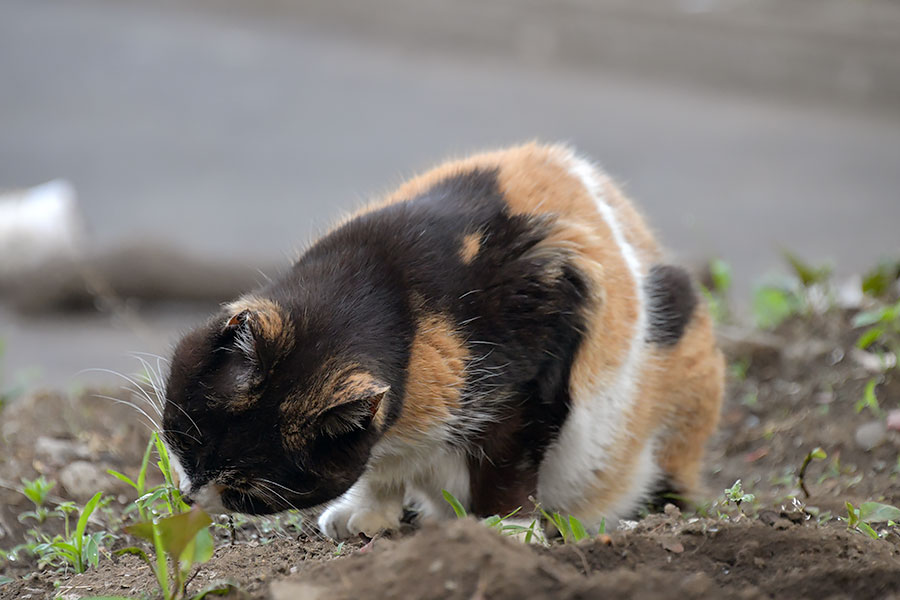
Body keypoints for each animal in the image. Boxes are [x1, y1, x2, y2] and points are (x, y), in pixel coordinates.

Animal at [162, 142, 724, 540]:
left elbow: (509, 460)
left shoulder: (535, 375)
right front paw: (366, 514)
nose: (190, 497)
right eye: (186, 439)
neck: (396, 293)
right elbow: (377, 463)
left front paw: (506, 530)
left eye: (247, 494)